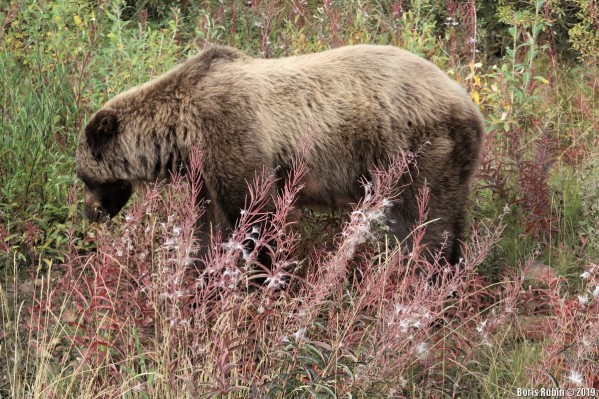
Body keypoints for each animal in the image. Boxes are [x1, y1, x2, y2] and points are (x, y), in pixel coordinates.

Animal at [76, 44, 488, 266]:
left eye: (84, 177)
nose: (90, 214)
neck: (181, 134)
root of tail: (470, 104)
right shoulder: (205, 172)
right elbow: (206, 224)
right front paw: (200, 268)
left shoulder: (233, 136)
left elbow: (258, 216)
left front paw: (261, 274)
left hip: (421, 152)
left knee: (427, 224)